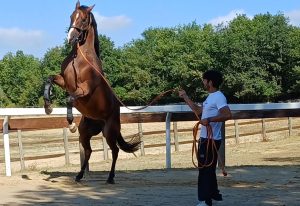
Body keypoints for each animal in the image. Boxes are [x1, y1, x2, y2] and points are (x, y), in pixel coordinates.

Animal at [43, 0, 141, 184]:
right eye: (71, 16)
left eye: (83, 19)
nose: (70, 38)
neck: (80, 59)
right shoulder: (64, 82)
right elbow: (48, 79)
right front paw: (48, 106)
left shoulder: (84, 89)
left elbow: (69, 99)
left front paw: (71, 124)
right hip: (86, 133)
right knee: (88, 151)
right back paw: (79, 175)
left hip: (109, 131)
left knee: (115, 151)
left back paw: (110, 178)